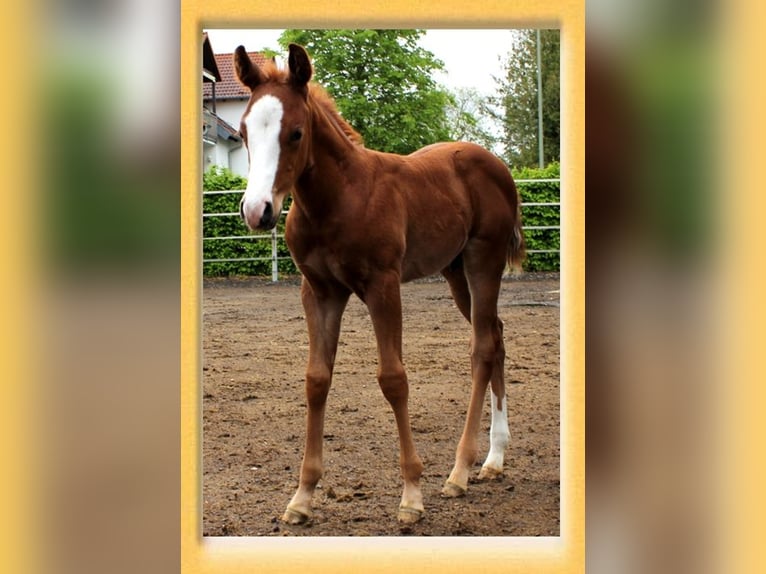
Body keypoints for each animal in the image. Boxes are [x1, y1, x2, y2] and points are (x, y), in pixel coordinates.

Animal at [234, 42, 524, 524]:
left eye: (295, 133)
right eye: (242, 132)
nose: (258, 211)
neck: (338, 199)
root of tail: (498, 165)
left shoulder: (383, 286)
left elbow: (393, 378)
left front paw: (411, 494)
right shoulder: (319, 291)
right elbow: (316, 379)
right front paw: (302, 497)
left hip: (484, 261)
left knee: (482, 347)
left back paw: (459, 471)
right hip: (454, 271)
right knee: (496, 336)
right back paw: (494, 459)